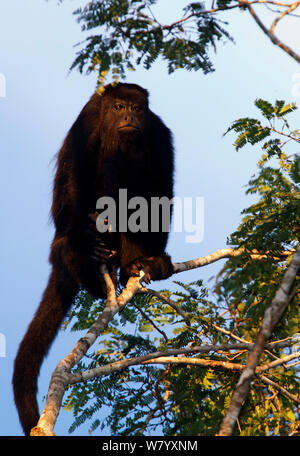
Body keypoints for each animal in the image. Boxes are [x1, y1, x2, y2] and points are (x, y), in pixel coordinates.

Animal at [12, 82, 175, 434]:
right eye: (118, 107)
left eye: (136, 108)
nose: (128, 116)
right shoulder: (87, 123)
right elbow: (77, 172)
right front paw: (87, 240)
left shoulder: (158, 132)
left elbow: (160, 188)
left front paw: (154, 260)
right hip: (65, 234)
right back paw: (82, 254)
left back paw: (134, 263)